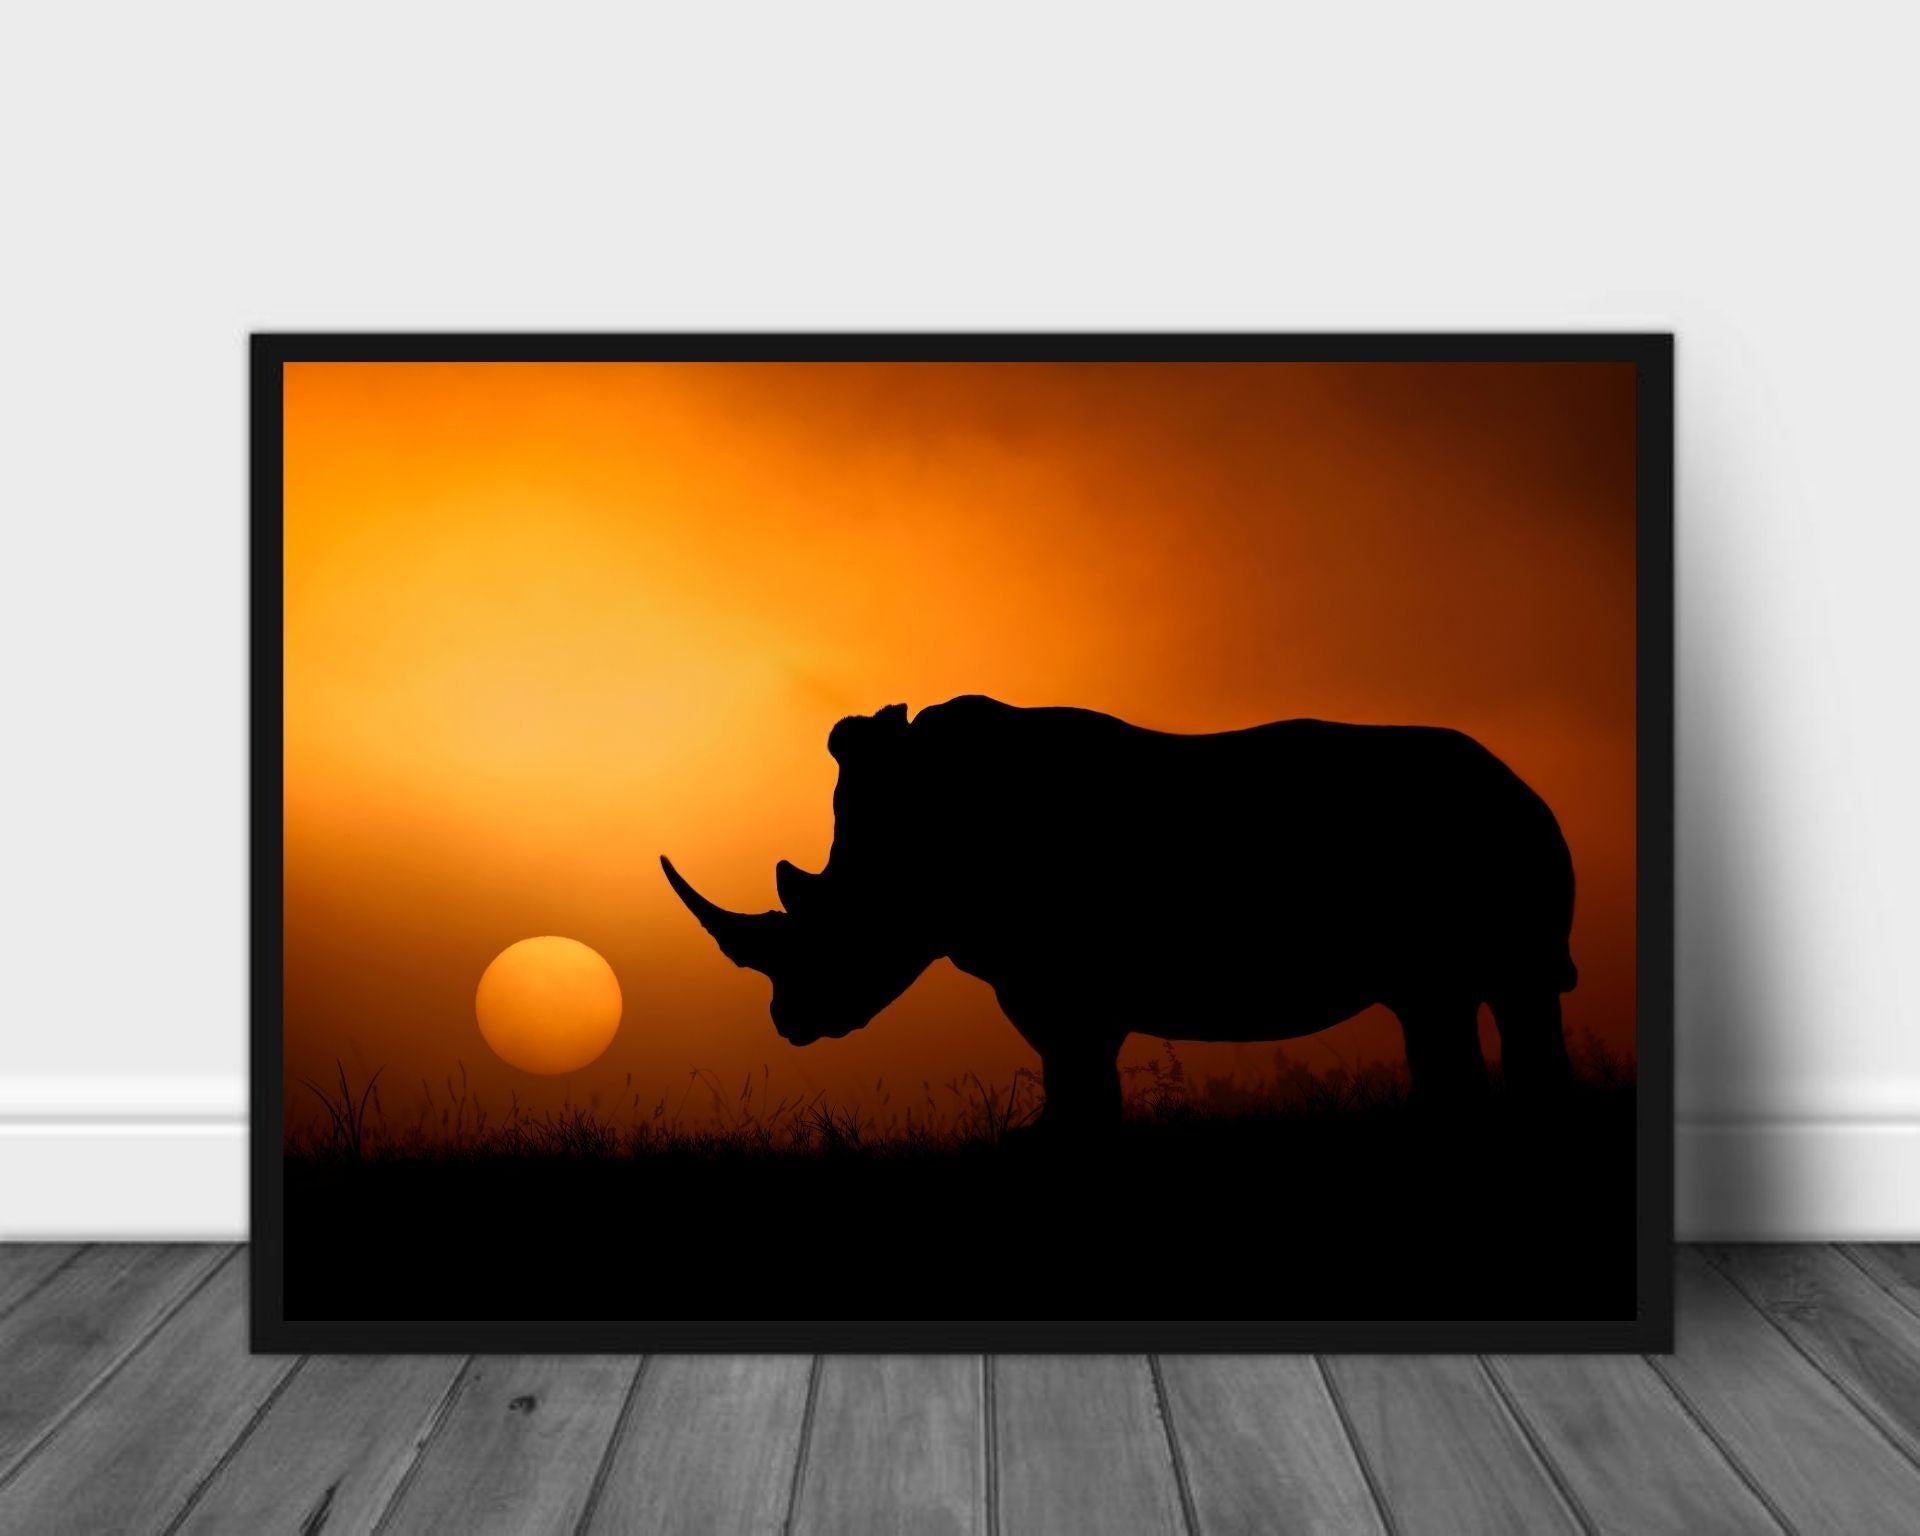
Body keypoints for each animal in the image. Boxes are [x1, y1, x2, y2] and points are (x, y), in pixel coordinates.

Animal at [663, 695, 1577, 1132]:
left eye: (831, 927)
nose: (789, 1023)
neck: (911, 848)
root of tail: (1523, 783)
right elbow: (1074, 1064)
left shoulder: (1055, 974)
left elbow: (1072, 1058)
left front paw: (1054, 1142)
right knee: (1448, 1001)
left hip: (1488, 834)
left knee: (1494, 991)